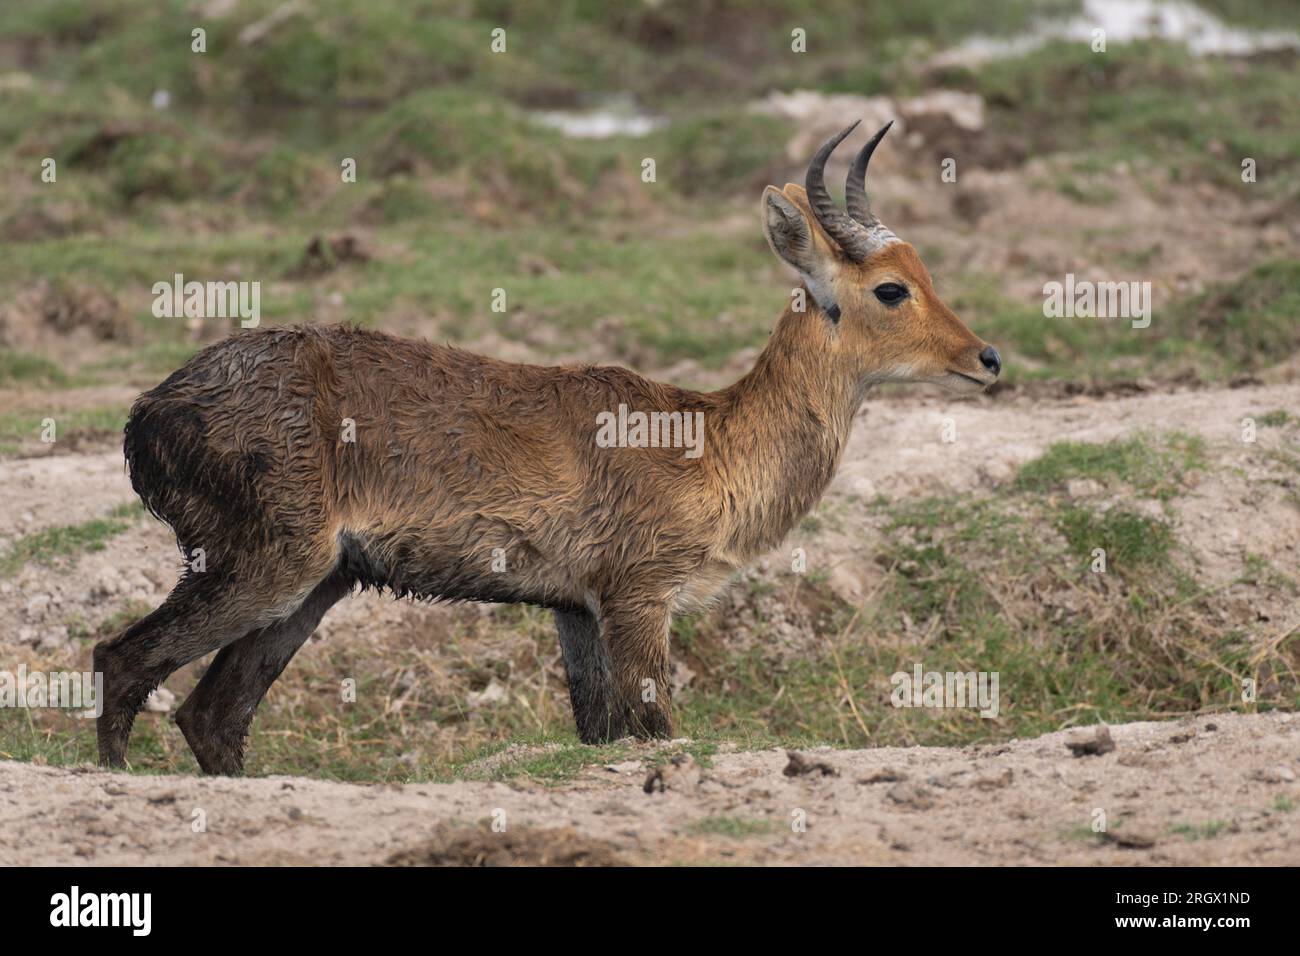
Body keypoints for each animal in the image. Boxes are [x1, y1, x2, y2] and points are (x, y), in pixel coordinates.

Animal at [96, 121, 998, 780]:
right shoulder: (640, 597)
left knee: (211, 714)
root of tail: (148, 411)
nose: (987, 359)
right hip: (266, 567)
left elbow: (601, 732)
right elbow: (656, 727)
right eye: (890, 288)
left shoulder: (576, 608)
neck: (710, 440)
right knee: (122, 659)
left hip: (315, 587)